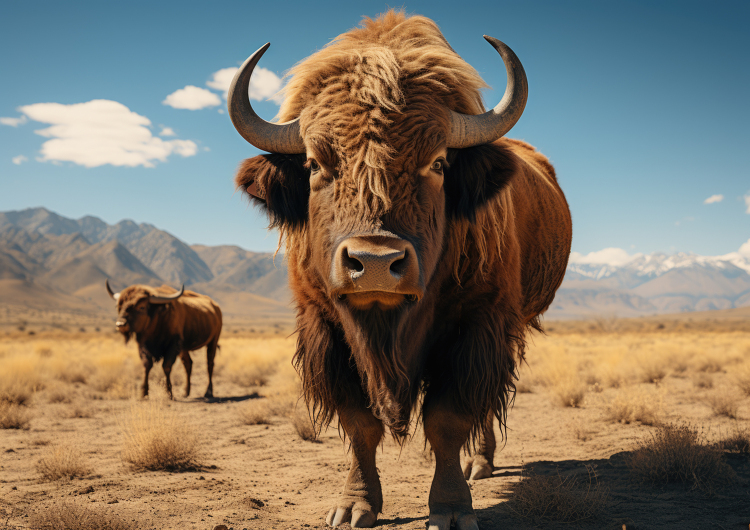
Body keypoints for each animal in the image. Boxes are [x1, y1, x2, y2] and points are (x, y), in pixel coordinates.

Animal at [229, 9, 568, 528]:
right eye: (315, 163)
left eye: (439, 162)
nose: (373, 263)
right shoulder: (327, 331)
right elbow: (360, 423)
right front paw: (354, 506)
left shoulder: (478, 326)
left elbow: (448, 418)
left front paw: (451, 509)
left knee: (485, 406)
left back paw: (480, 465)